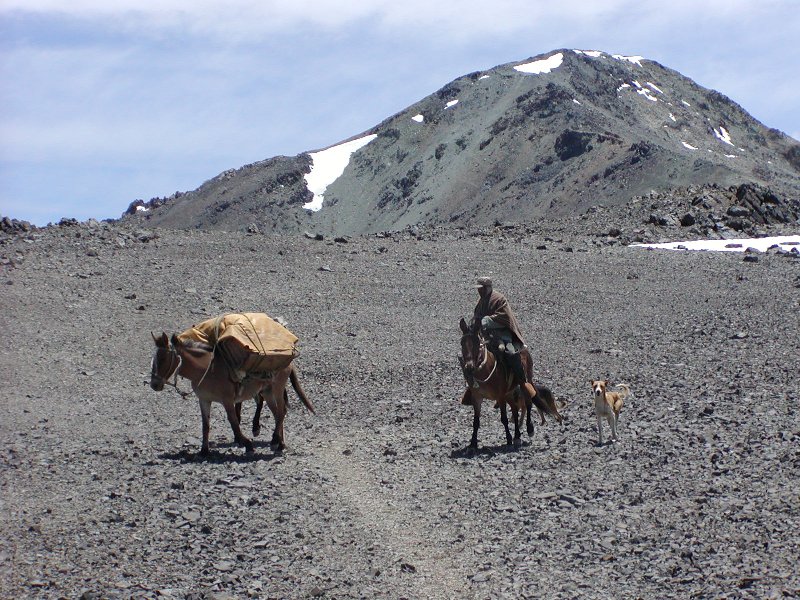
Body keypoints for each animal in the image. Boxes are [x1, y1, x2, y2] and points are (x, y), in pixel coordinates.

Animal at [152, 332, 314, 454]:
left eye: (163, 358)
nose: (154, 384)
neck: (206, 370)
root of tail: (290, 359)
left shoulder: (228, 400)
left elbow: (233, 421)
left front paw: (247, 444)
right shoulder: (204, 400)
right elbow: (205, 424)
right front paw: (204, 451)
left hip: (277, 388)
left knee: (281, 412)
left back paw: (276, 442)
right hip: (267, 391)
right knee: (276, 413)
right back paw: (279, 442)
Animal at [456, 316, 564, 448]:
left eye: (478, 344)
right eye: (462, 343)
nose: (469, 367)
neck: (486, 370)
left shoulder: (500, 396)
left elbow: (504, 418)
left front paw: (508, 438)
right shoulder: (477, 397)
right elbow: (476, 421)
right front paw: (473, 443)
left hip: (524, 381)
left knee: (528, 403)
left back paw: (529, 429)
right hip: (510, 393)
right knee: (515, 410)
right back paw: (517, 436)